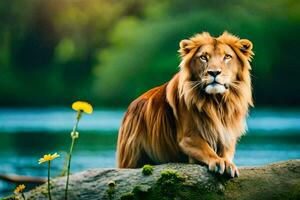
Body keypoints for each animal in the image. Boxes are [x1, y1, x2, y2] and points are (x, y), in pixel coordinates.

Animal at [116, 31, 253, 177]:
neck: (217, 102)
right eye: (203, 57)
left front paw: (228, 163)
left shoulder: (227, 134)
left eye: (227, 56)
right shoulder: (188, 138)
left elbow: (226, 152)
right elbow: (207, 149)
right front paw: (218, 161)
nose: (214, 72)